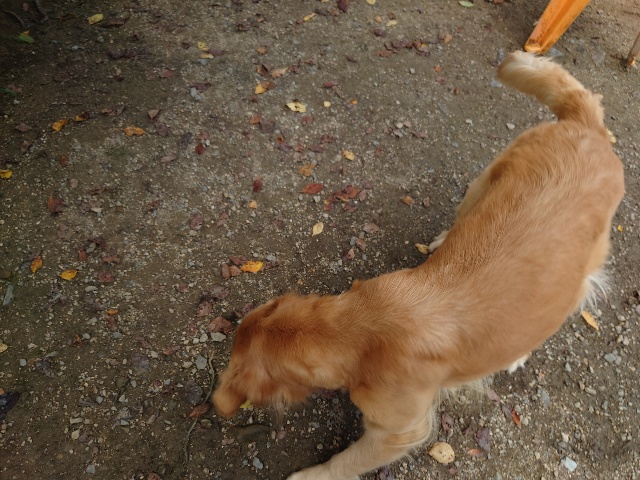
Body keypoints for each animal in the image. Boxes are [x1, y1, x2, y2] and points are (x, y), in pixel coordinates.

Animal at [212, 51, 624, 480]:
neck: (359, 328)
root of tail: (588, 126)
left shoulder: (398, 431)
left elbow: (344, 461)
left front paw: (311, 476)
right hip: (486, 181)